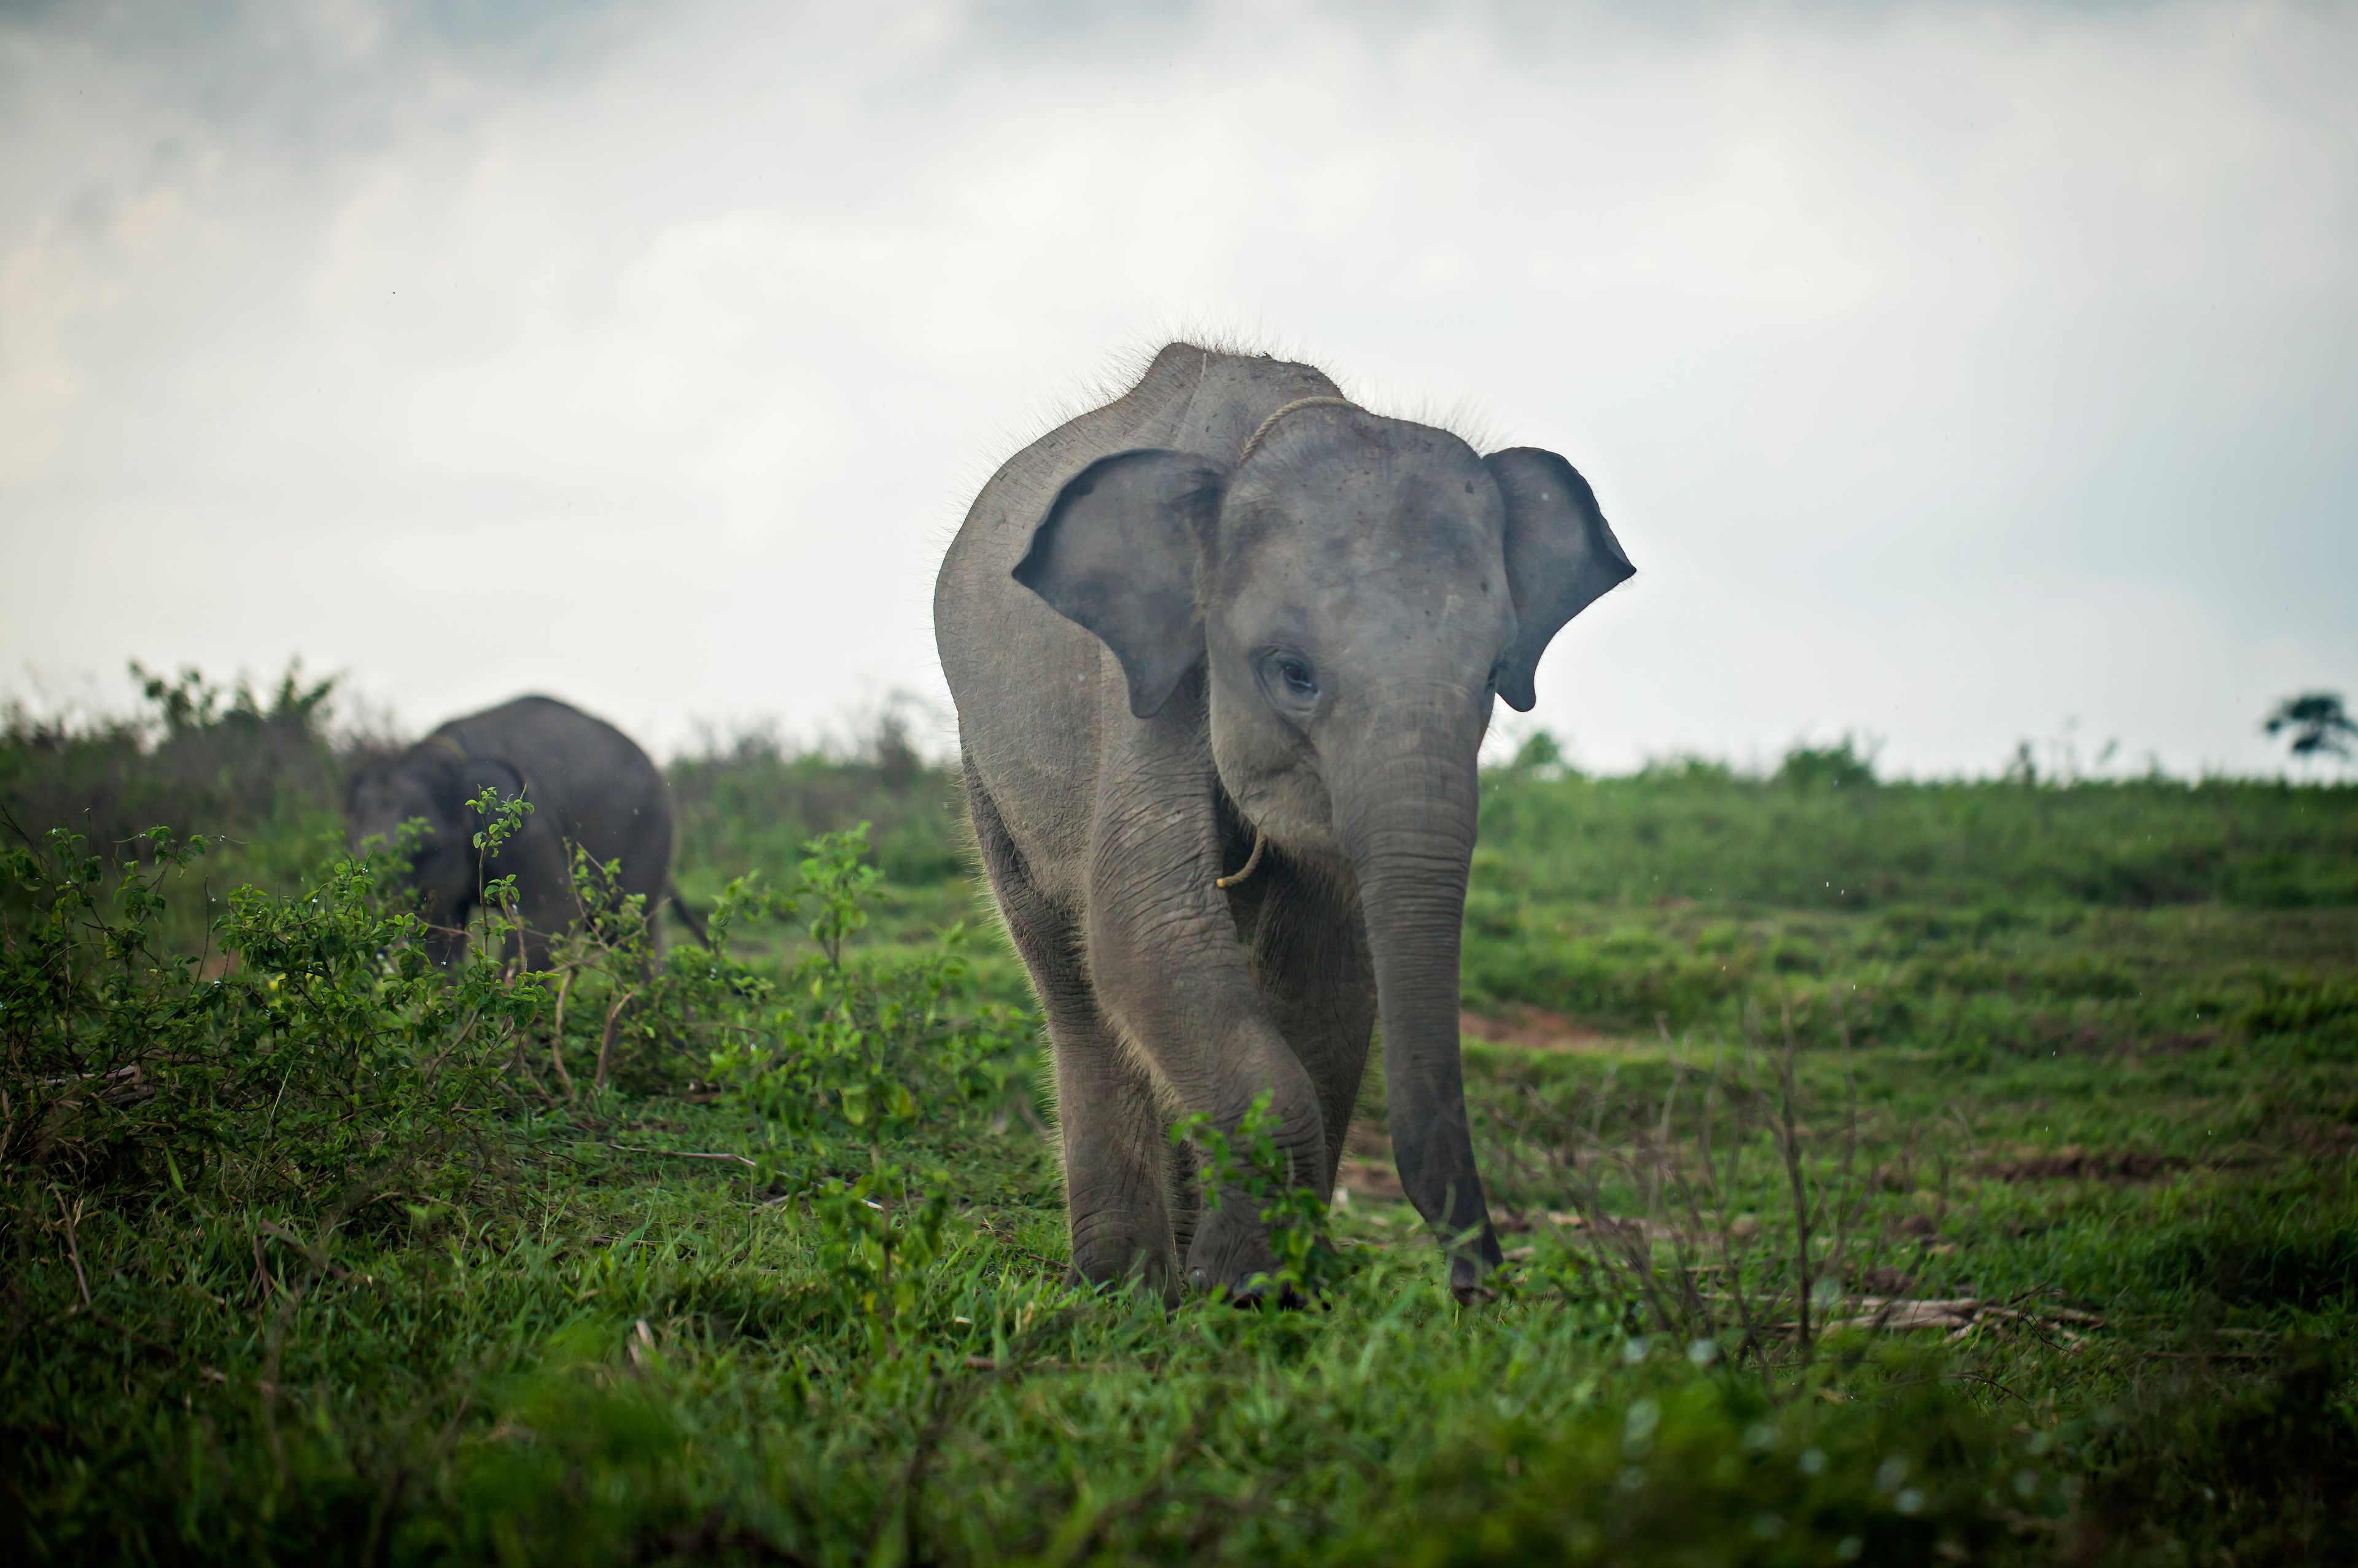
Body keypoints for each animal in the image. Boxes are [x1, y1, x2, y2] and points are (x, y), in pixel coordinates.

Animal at [345, 694, 705, 970]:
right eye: (358, 853)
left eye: (425, 849)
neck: (451, 760)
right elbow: (440, 933)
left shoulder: (534, 829)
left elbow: (554, 911)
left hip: (650, 835)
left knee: (624, 927)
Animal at [934, 342, 1634, 1303]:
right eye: (1293, 673)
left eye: (1496, 672)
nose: (1481, 1283)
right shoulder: (1142, 685)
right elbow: (1144, 931)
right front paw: (1243, 1287)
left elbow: (1330, 967)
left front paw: (1264, 1282)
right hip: (986, 758)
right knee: (1068, 971)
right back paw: (1119, 1283)